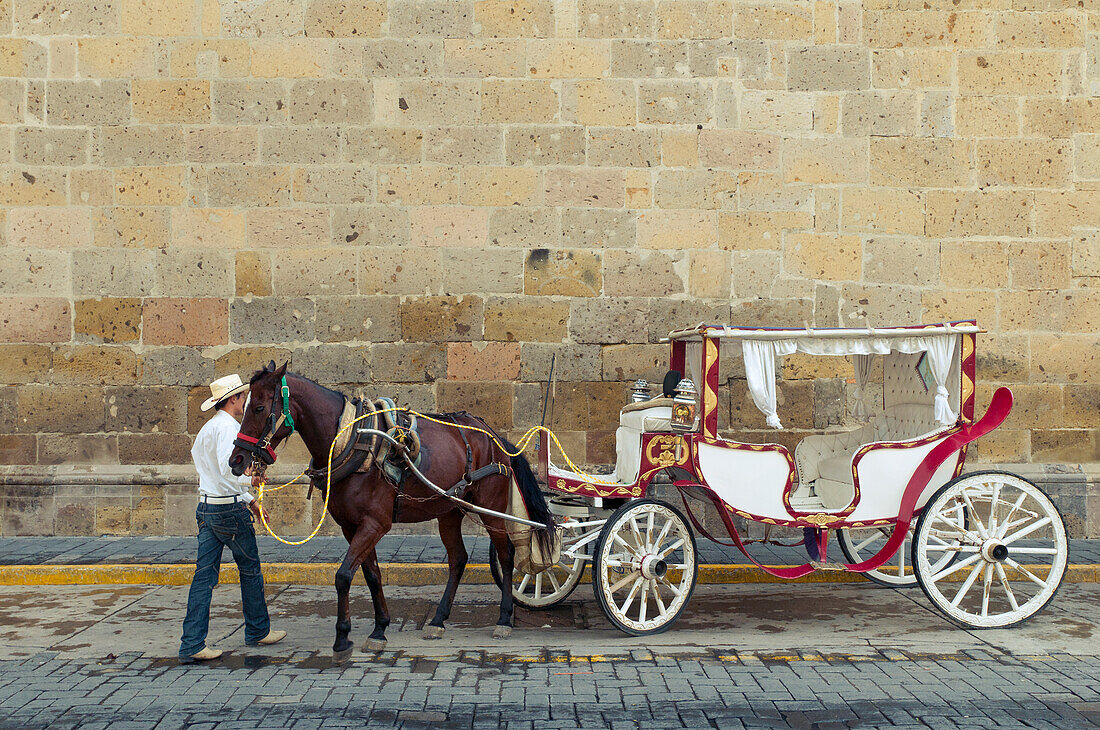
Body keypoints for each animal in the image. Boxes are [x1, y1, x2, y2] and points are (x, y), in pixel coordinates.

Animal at [232, 362, 558, 664]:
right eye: (244, 407)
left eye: (259, 407)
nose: (236, 459)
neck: (352, 441)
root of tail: (496, 438)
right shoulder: (352, 526)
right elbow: (371, 575)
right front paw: (379, 629)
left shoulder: (375, 524)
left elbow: (344, 576)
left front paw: (342, 639)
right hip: (449, 509)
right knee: (458, 559)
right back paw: (438, 620)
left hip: (491, 507)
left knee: (506, 556)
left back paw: (504, 619)